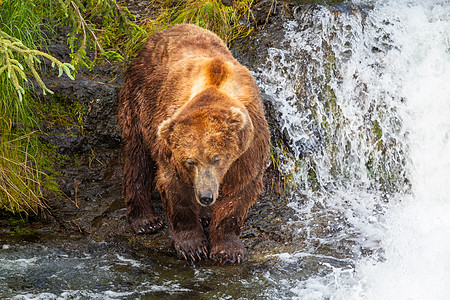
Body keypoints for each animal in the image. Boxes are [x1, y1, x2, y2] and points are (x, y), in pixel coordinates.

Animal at [118, 24, 268, 262]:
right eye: (190, 161)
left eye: (217, 159)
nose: (206, 196)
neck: (214, 87)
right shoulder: (170, 148)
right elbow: (176, 190)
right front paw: (193, 247)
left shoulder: (249, 148)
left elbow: (238, 192)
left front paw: (227, 250)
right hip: (139, 101)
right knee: (137, 157)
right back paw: (146, 221)